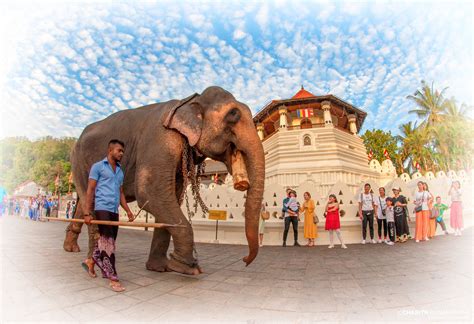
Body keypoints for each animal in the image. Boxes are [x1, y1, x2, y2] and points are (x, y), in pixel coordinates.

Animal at [62, 85, 266, 274]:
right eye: (233, 114)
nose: (245, 260)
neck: (189, 101)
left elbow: (169, 198)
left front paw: (160, 268)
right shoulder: (161, 140)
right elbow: (151, 192)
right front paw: (186, 267)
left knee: (84, 203)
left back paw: (71, 248)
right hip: (79, 162)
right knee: (92, 204)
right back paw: (95, 262)